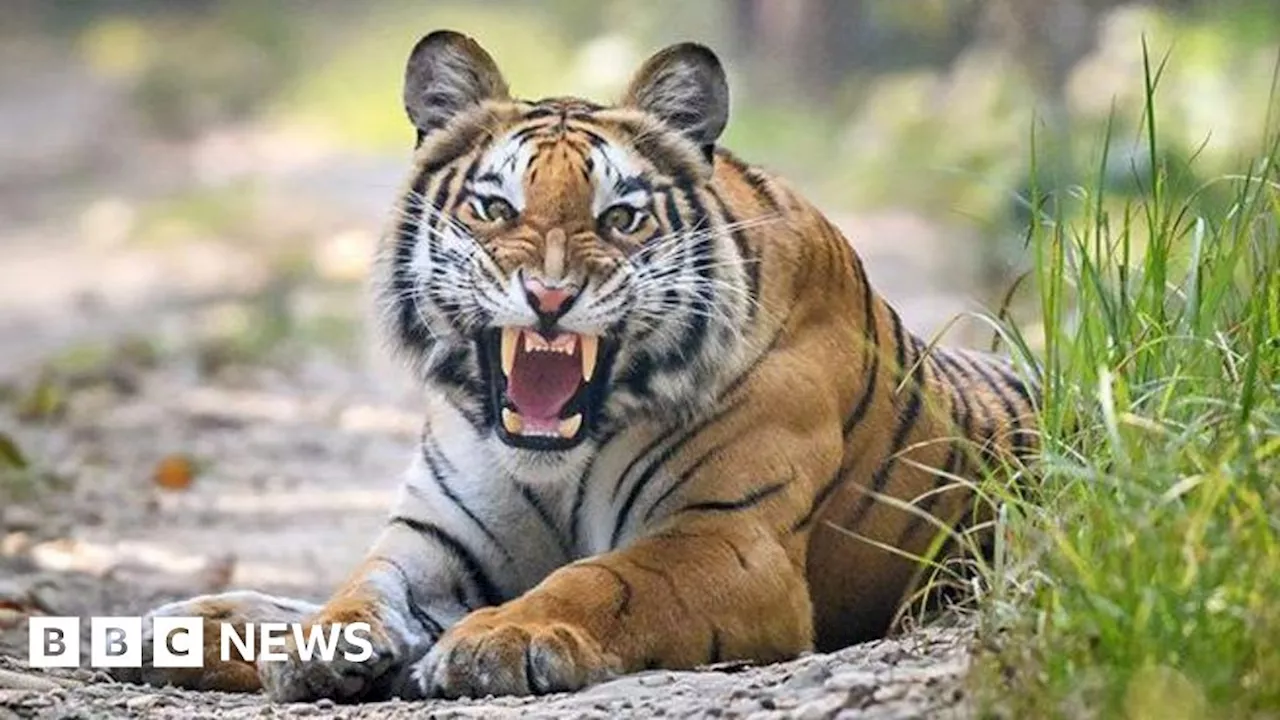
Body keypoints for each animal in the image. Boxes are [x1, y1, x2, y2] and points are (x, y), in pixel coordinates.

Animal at [129, 30, 1034, 696]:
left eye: (622, 218)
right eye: (493, 208)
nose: (550, 295)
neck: (557, 461)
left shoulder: (724, 538)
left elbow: (603, 580)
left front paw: (497, 640)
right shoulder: (436, 537)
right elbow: (360, 584)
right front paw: (319, 644)